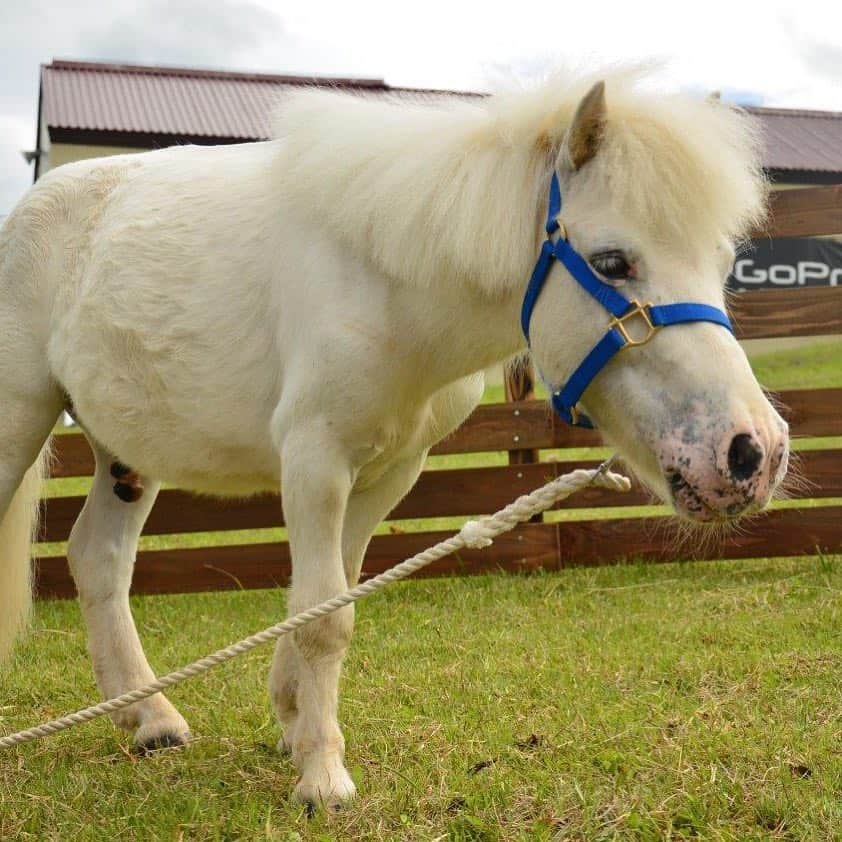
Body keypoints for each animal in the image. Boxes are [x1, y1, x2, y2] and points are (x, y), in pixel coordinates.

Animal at [0, 68, 789, 811]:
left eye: (724, 264)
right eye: (613, 262)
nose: (752, 453)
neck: (385, 280)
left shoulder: (389, 473)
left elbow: (325, 600)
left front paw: (294, 722)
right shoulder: (315, 461)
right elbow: (324, 619)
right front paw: (322, 779)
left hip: (125, 454)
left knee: (98, 558)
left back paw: (151, 720)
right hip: (19, 421)